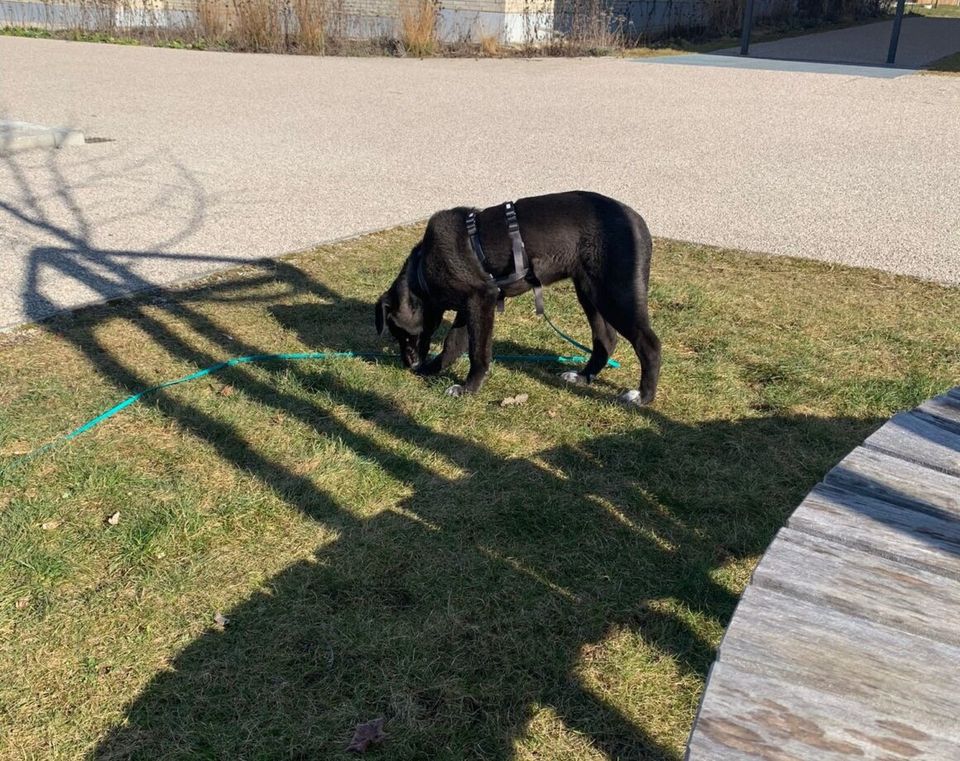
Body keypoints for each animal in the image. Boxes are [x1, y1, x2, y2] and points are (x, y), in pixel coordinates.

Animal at [376, 190, 660, 404]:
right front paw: (434, 371)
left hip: (615, 294)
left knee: (649, 343)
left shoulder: (481, 300)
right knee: (606, 340)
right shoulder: (468, 306)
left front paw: (468, 389)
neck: (423, 270)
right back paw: (583, 377)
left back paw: (643, 396)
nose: (408, 365)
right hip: (589, 291)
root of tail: (639, 222)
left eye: (401, 333)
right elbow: (452, 344)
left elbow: (478, 351)